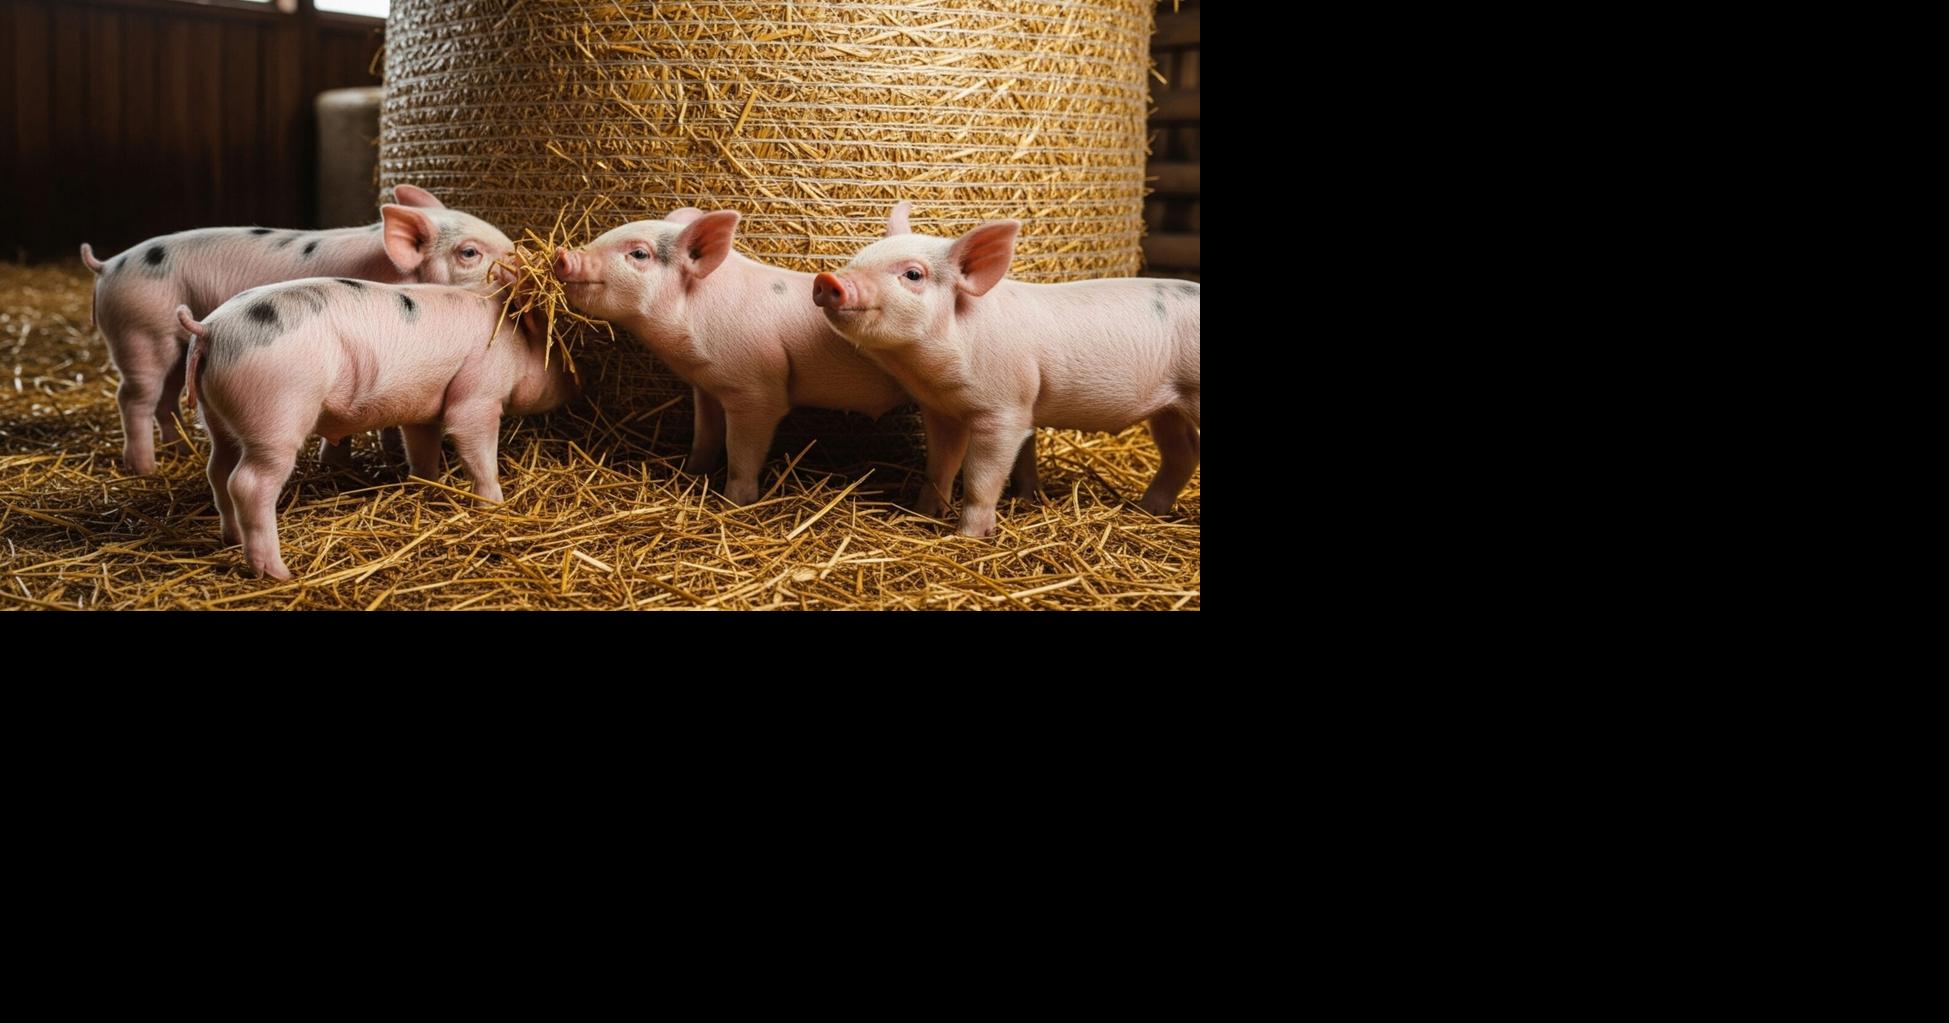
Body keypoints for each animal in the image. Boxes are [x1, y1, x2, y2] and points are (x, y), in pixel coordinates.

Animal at [79, 184, 516, 475]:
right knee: (133, 396)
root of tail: (108, 266)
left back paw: (177, 448)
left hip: (175, 348)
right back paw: (145, 468)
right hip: (139, 333)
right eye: (470, 252)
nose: (521, 258)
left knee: (166, 397)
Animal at [174, 271, 579, 580]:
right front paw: (495, 505)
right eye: (557, 350)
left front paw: (427, 484)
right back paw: (278, 573)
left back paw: (230, 538)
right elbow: (476, 449)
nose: (576, 384)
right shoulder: (478, 398)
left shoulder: (423, 409)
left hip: (217, 417)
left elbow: (422, 449)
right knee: (247, 483)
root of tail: (209, 329)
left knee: (218, 469)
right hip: (276, 415)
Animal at [552, 208, 909, 504]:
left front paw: (732, 504)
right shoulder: (706, 386)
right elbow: (705, 435)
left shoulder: (757, 393)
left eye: (639, 253)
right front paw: (692, 471)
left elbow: (741, 454)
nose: (563, 255)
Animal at [813, 203, 1200, 537]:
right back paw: (1146, 511)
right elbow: (939, 468)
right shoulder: (941, 412)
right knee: (1183, 453)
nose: (827, 279)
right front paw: (922, 516)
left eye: (913, 274)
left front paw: (967, 537)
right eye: (857, 258)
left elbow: (980, 480)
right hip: (1169, 408)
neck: (927, 372)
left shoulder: (1004, 411)